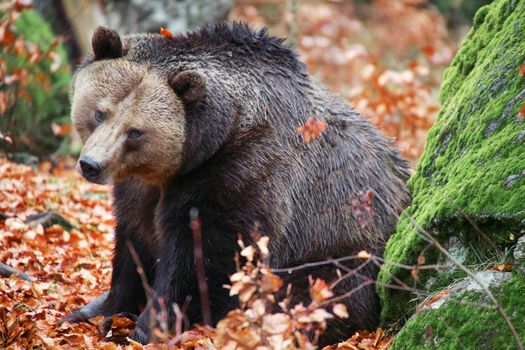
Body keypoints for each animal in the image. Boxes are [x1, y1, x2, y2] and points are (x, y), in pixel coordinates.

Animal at [63, 23, 412, 344]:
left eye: (135, 131)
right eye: (100, 112)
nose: (91, 165)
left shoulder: (241, 174)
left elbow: (203, 260)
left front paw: (146, 330)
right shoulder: (139, 189)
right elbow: (134, 243)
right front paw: (93, 312)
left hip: (343, 246)